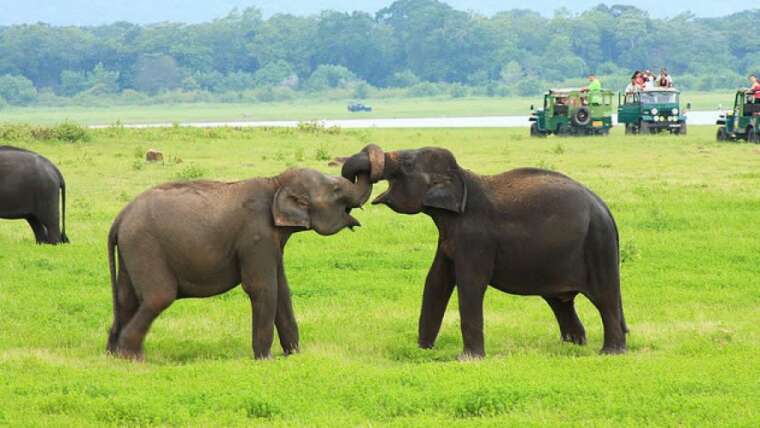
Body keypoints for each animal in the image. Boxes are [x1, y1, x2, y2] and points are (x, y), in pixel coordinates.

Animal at [107, 167, 374, 362]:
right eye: (336, 189)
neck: (275, 182)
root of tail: (120, 217)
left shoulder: (272, 242)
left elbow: (282, 290)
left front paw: (294, 356)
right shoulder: (257, 237)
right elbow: (263, 288)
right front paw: (266, 360)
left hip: (132, 251)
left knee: (126, 300)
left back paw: (113, 355)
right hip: (145, 246)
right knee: (158, 297)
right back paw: (133, 359)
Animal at [342, 145, 628, 360]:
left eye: (408, 163)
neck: (462, 177)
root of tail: (604, 208)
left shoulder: (475, 237)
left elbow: (470, 284)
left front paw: (466, 359)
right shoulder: (448, 238)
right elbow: (435, 281)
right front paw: (422, 351)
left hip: (597, 245)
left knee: (604, 297)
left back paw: (610, 353)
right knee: (560, 301)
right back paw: (572, 346)